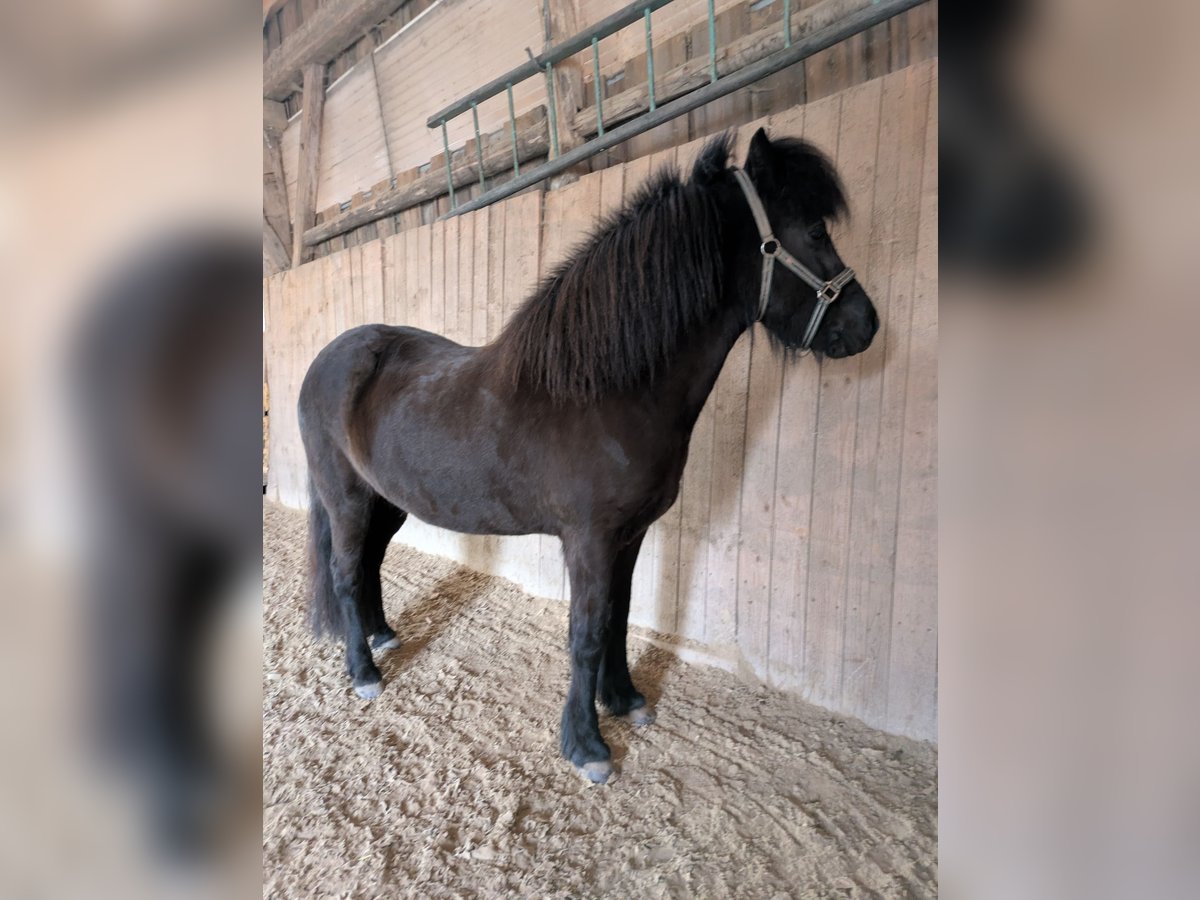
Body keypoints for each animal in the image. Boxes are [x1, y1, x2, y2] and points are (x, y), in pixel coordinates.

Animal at [298, 128, 878, 783]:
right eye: (814, 231)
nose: (866, 324)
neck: (608, 391)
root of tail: (329, 359)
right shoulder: (590, 539)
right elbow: (588, 632)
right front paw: (586, 745)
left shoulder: (630, 534)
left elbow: (619, 617)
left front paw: (624, 700)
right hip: (345, 499)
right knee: (347, 575)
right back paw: (363, 672)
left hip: (386, 503)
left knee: (369, 565)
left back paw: (382, 637)